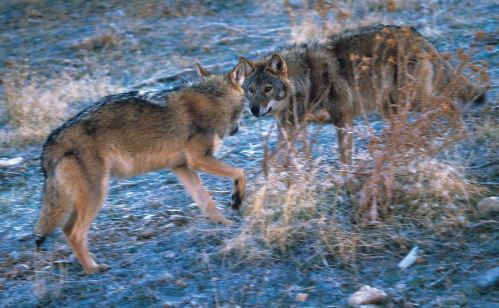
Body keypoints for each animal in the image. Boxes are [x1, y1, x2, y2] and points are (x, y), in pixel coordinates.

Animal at [33, 62, 248, 274]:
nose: (237, 129)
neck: (215, 99)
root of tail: (50, 143)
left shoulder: (181, 167)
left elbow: (207, 202)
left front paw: (225, 224)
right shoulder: (198, 160)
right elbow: (240, 172)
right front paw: (236, 200)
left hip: (84, 199)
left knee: (66, 229)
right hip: (97, 194)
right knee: (75, 233)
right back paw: (93, 269)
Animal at [238, 24, 484, 164]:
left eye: (268, 89)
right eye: (251, 89)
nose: (254, 110)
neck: (305, 80)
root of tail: (418, 36)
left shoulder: (344, 118)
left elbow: (344, 157)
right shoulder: (288, 129)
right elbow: (281, 162)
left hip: (413, 101)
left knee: (448, 104)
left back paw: (460, 138)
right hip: (392, 108)